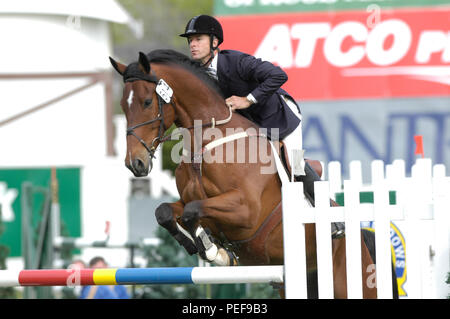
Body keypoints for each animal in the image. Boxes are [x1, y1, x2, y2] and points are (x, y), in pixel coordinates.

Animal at [109, 50, 390, 300]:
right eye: (123, 105)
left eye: (147, 102)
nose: (135, 163)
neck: (206, 141)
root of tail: (362, 236)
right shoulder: (191, 201)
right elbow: (166, 211)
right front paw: (196, 245)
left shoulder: (246, 210)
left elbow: (192, 211)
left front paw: (213, 251)